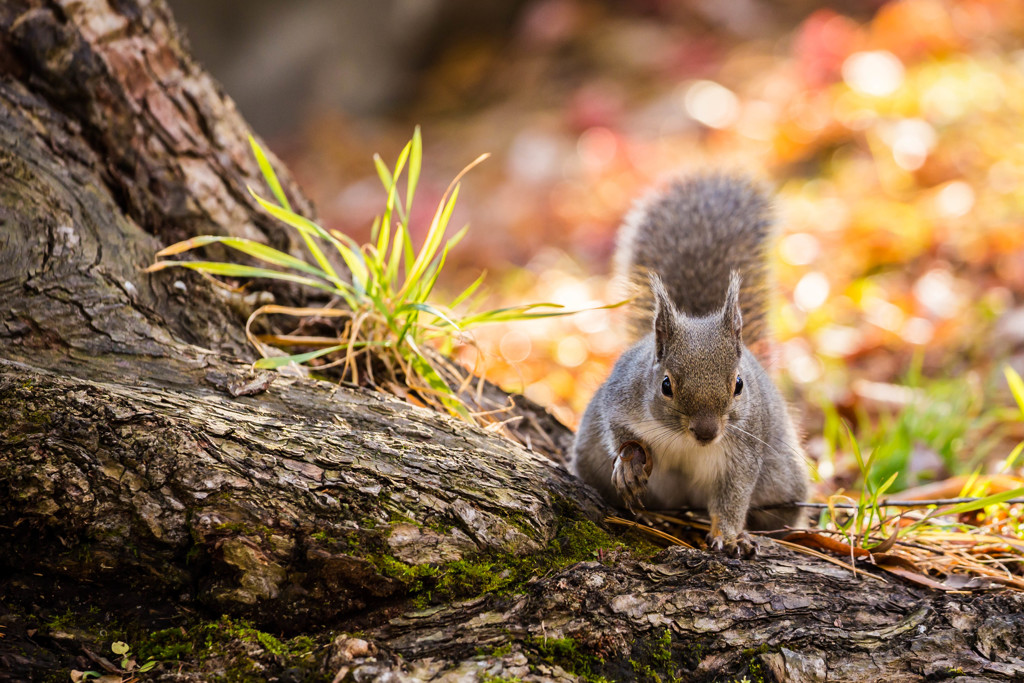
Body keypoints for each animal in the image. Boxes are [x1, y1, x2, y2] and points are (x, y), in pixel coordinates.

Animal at [569, 171, 806, 557]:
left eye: (739, 384)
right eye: (666, 385)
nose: (707, 433)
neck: (684, 440)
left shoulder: (743, 448)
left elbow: (732, 496)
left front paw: (729, 535)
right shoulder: (620, 397)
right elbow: (618, 432)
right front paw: (629, 462)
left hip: (782, 483)